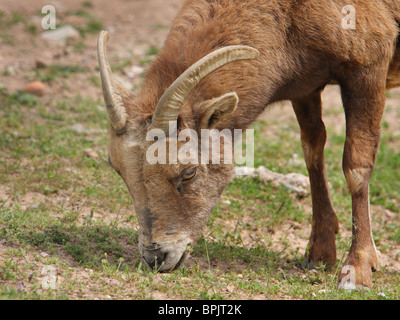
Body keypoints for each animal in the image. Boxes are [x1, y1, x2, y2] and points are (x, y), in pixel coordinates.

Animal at [97, 0, 400, 288]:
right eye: (119, 170)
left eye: (189, 172)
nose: (157, 257)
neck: (289, 13)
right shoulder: (305, 89)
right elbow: (312, 153)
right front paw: (319, 255)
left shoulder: (367, 71)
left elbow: (356, 167)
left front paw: (358, 271)